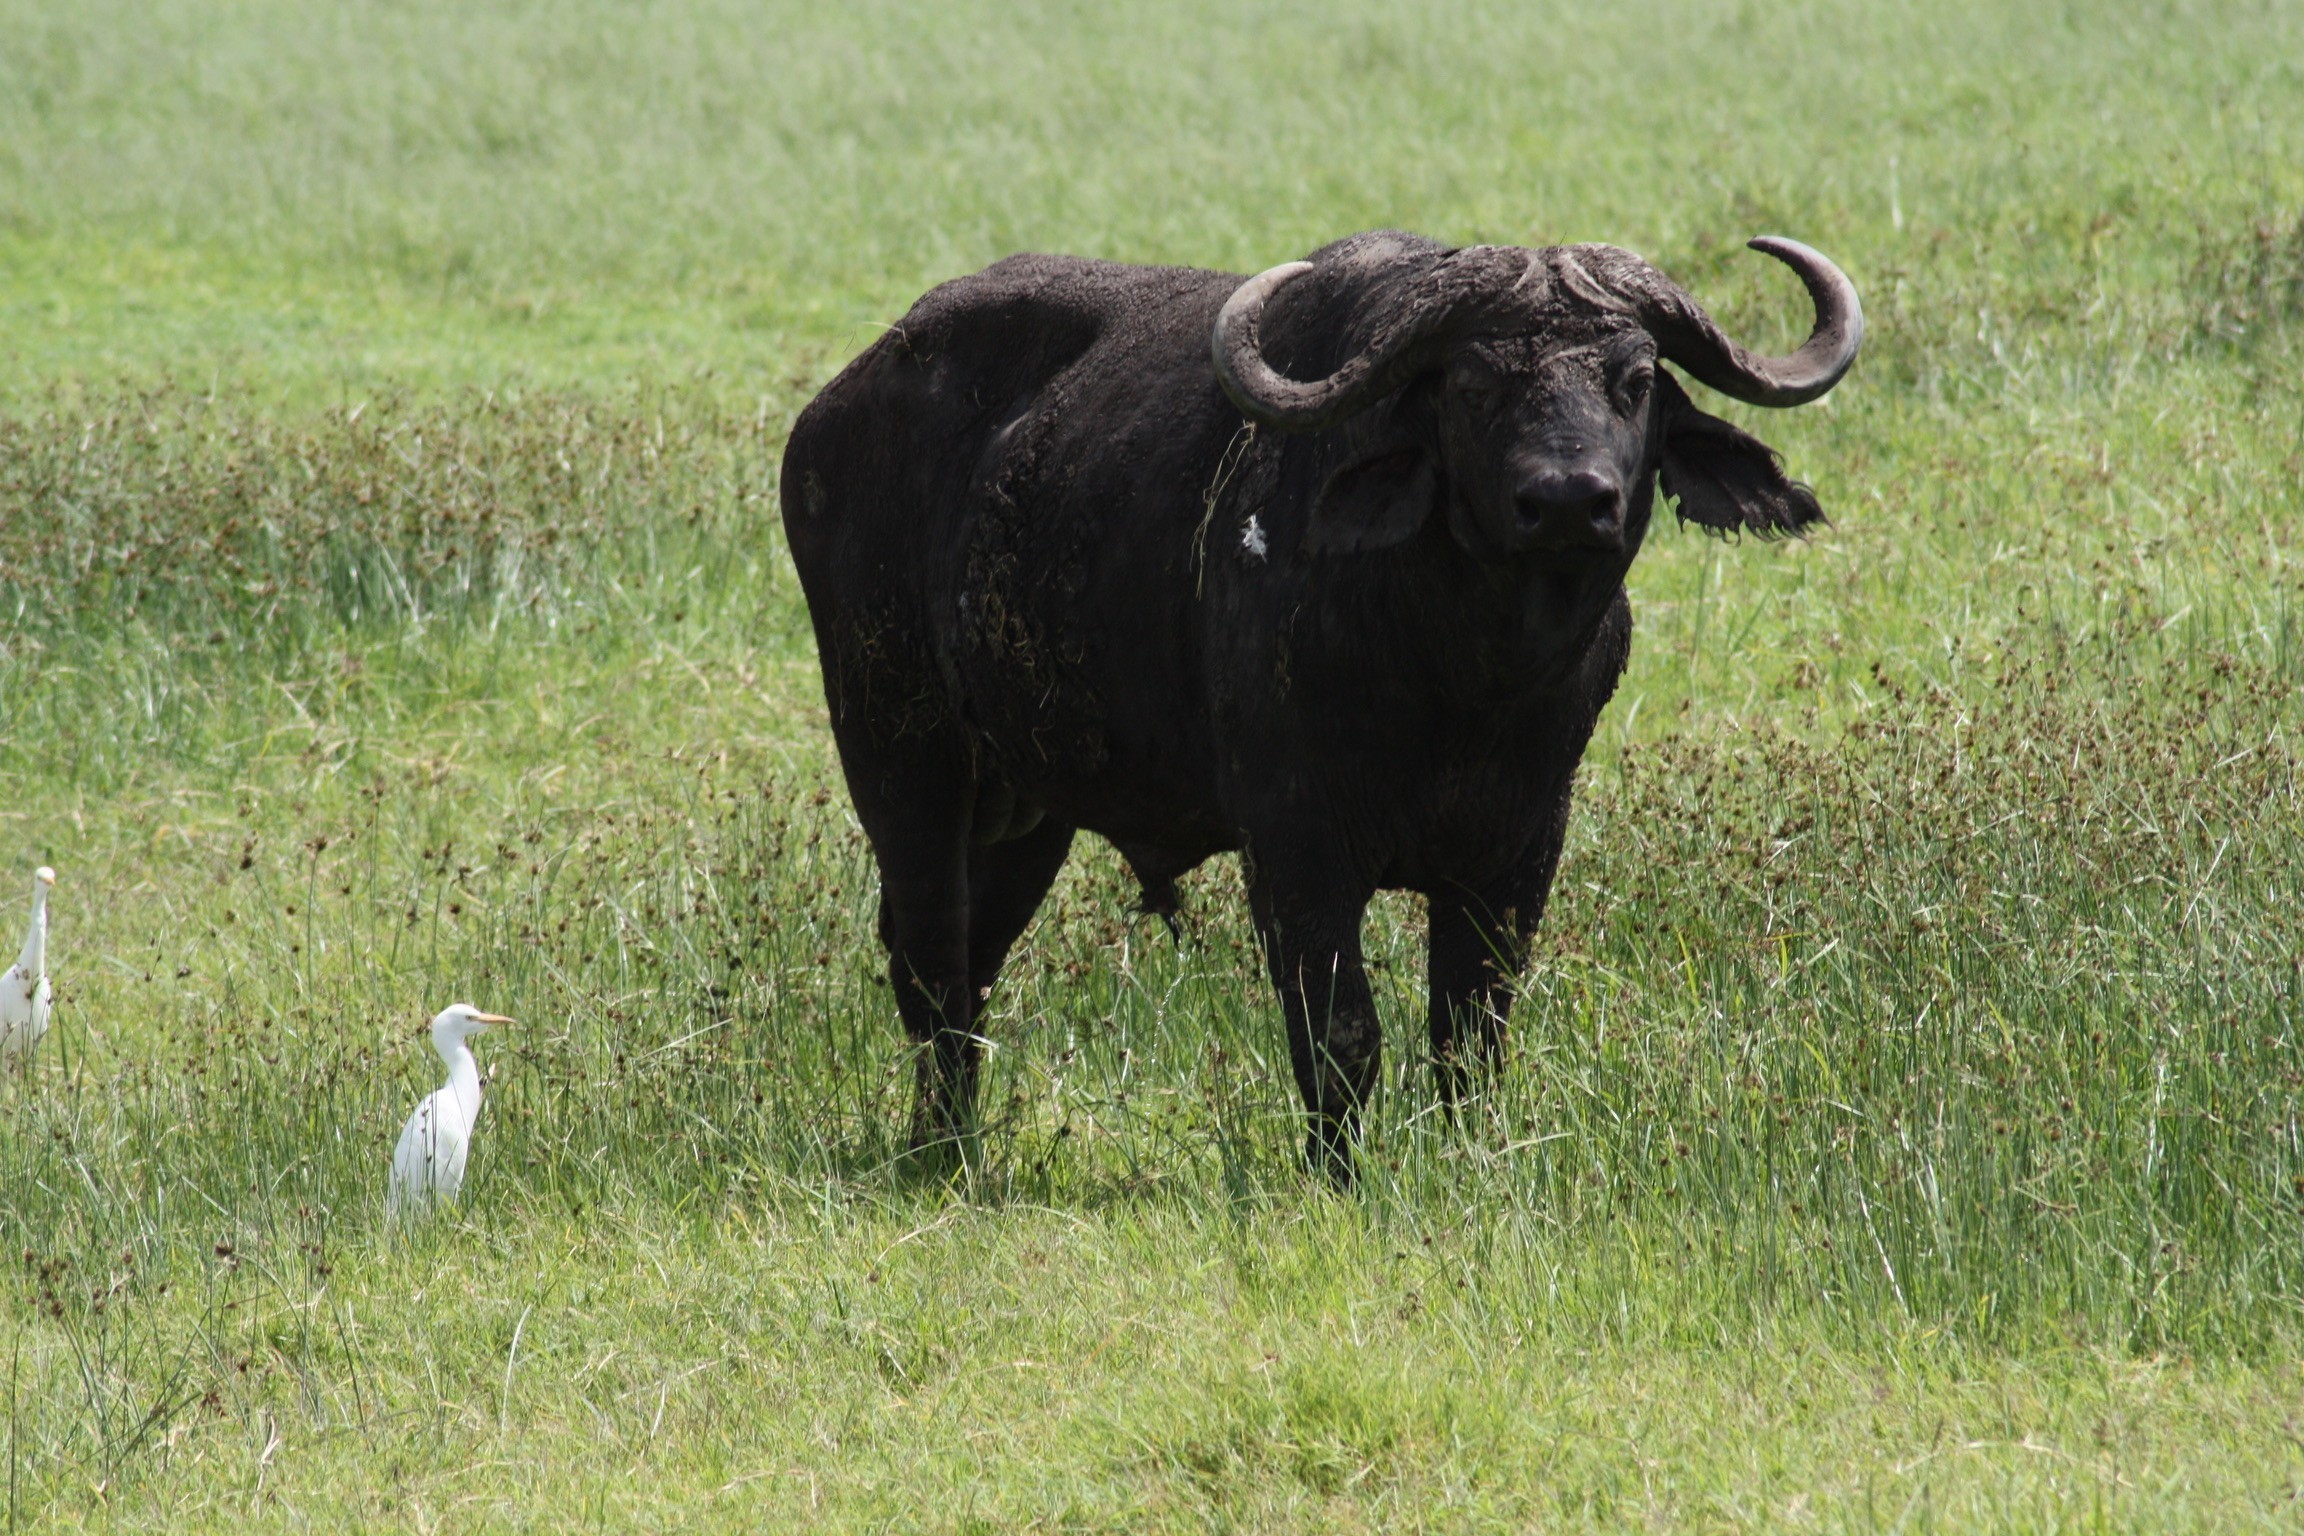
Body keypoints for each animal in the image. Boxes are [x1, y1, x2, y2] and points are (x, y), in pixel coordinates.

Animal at [781, 229, 1861, 1180]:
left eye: (1633, 380)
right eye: (1473, 385)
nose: (1568, 501)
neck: (1464, 681)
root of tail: (831, 416)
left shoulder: (1522, 846)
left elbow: (1470, 1032)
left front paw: (1466, 1162)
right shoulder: (1294, 843)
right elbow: (1341, 1031)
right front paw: (1334, 1174)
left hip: (1027, 809)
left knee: (974, 963)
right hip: (898, 755)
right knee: (929, 959)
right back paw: (943, 1153)